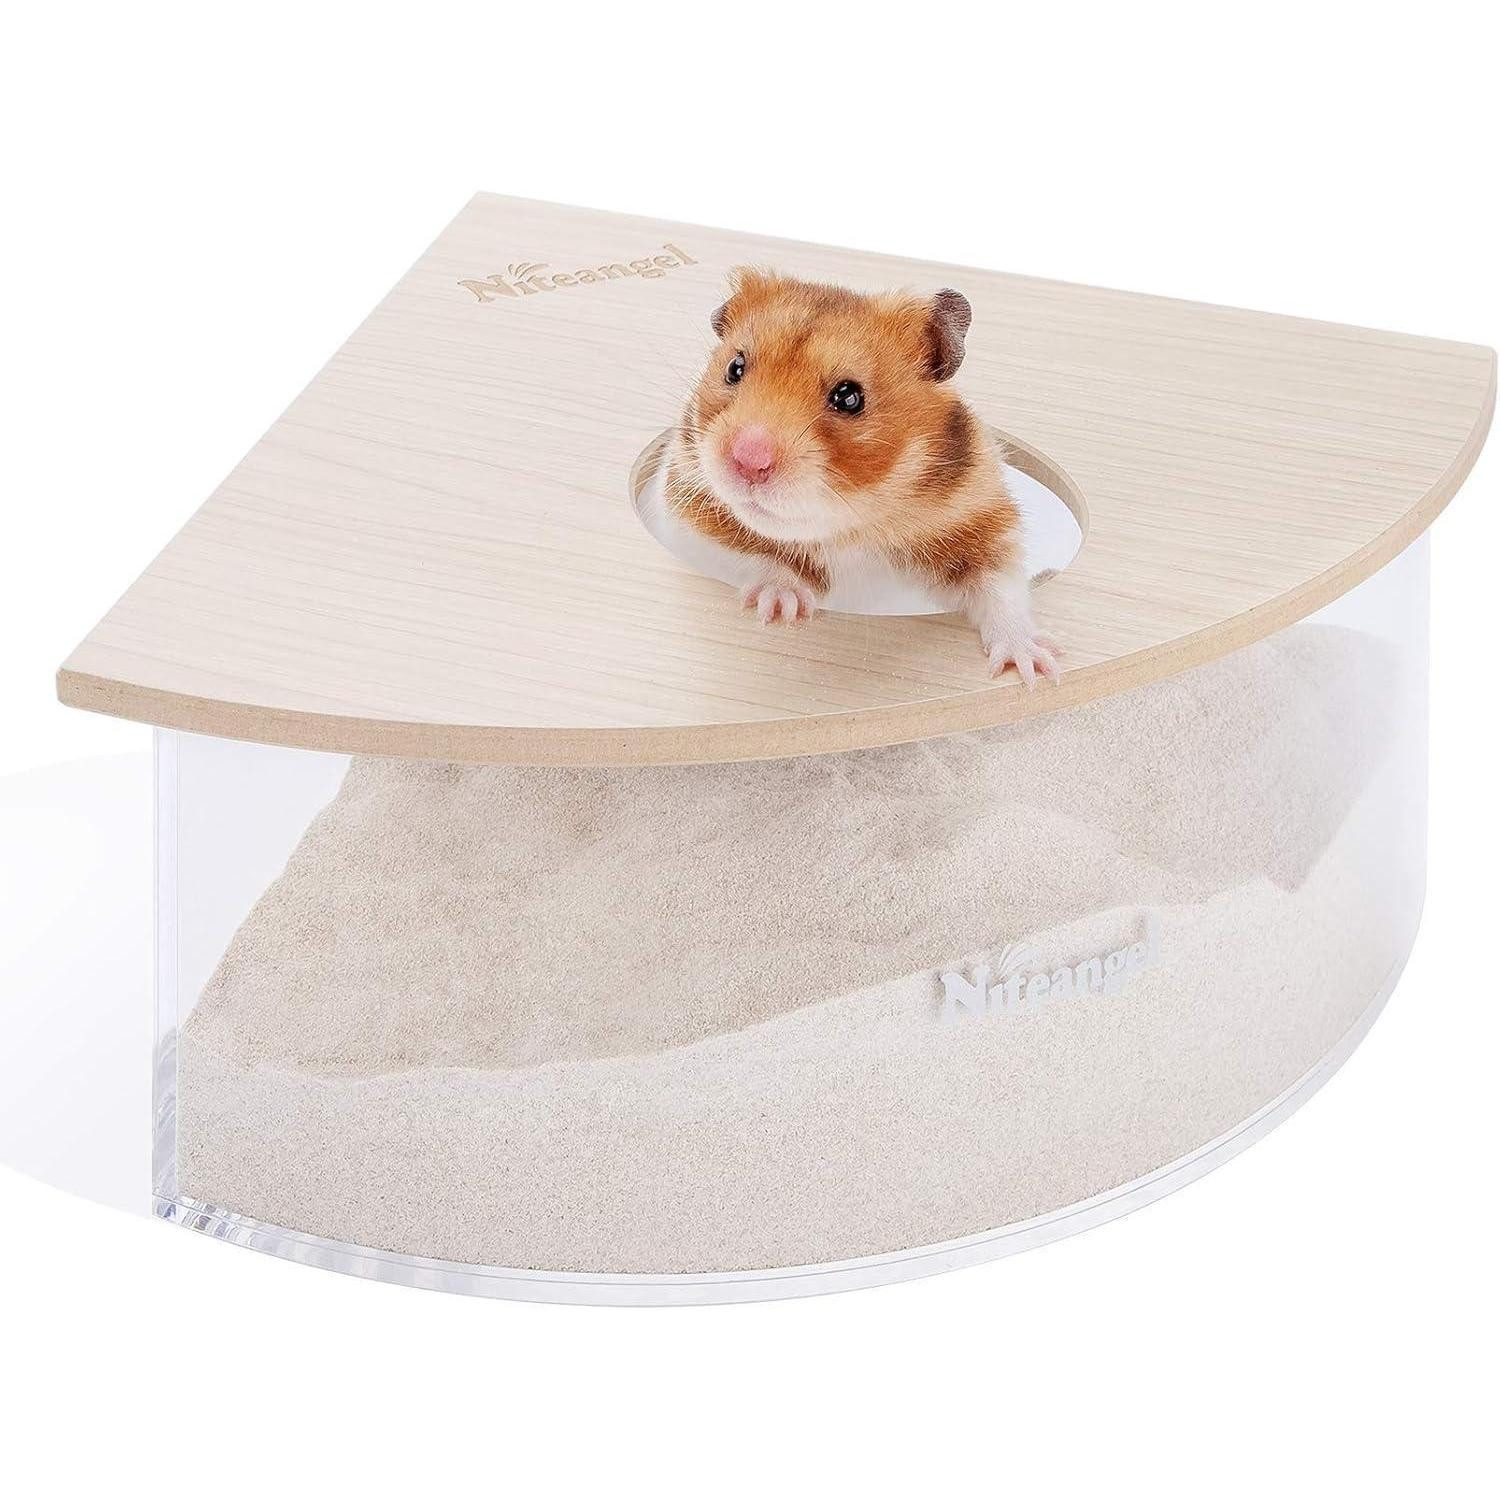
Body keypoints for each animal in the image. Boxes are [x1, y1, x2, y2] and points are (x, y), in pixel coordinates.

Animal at [661, 268, 1059, 685]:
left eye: (849, 397)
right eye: (734, 368)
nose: (747, 461)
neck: (851, 525)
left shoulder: (981, 519)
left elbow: (1000, 586)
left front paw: (1035, 671)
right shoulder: (688, 506)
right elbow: (755, 557)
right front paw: (782, 609)